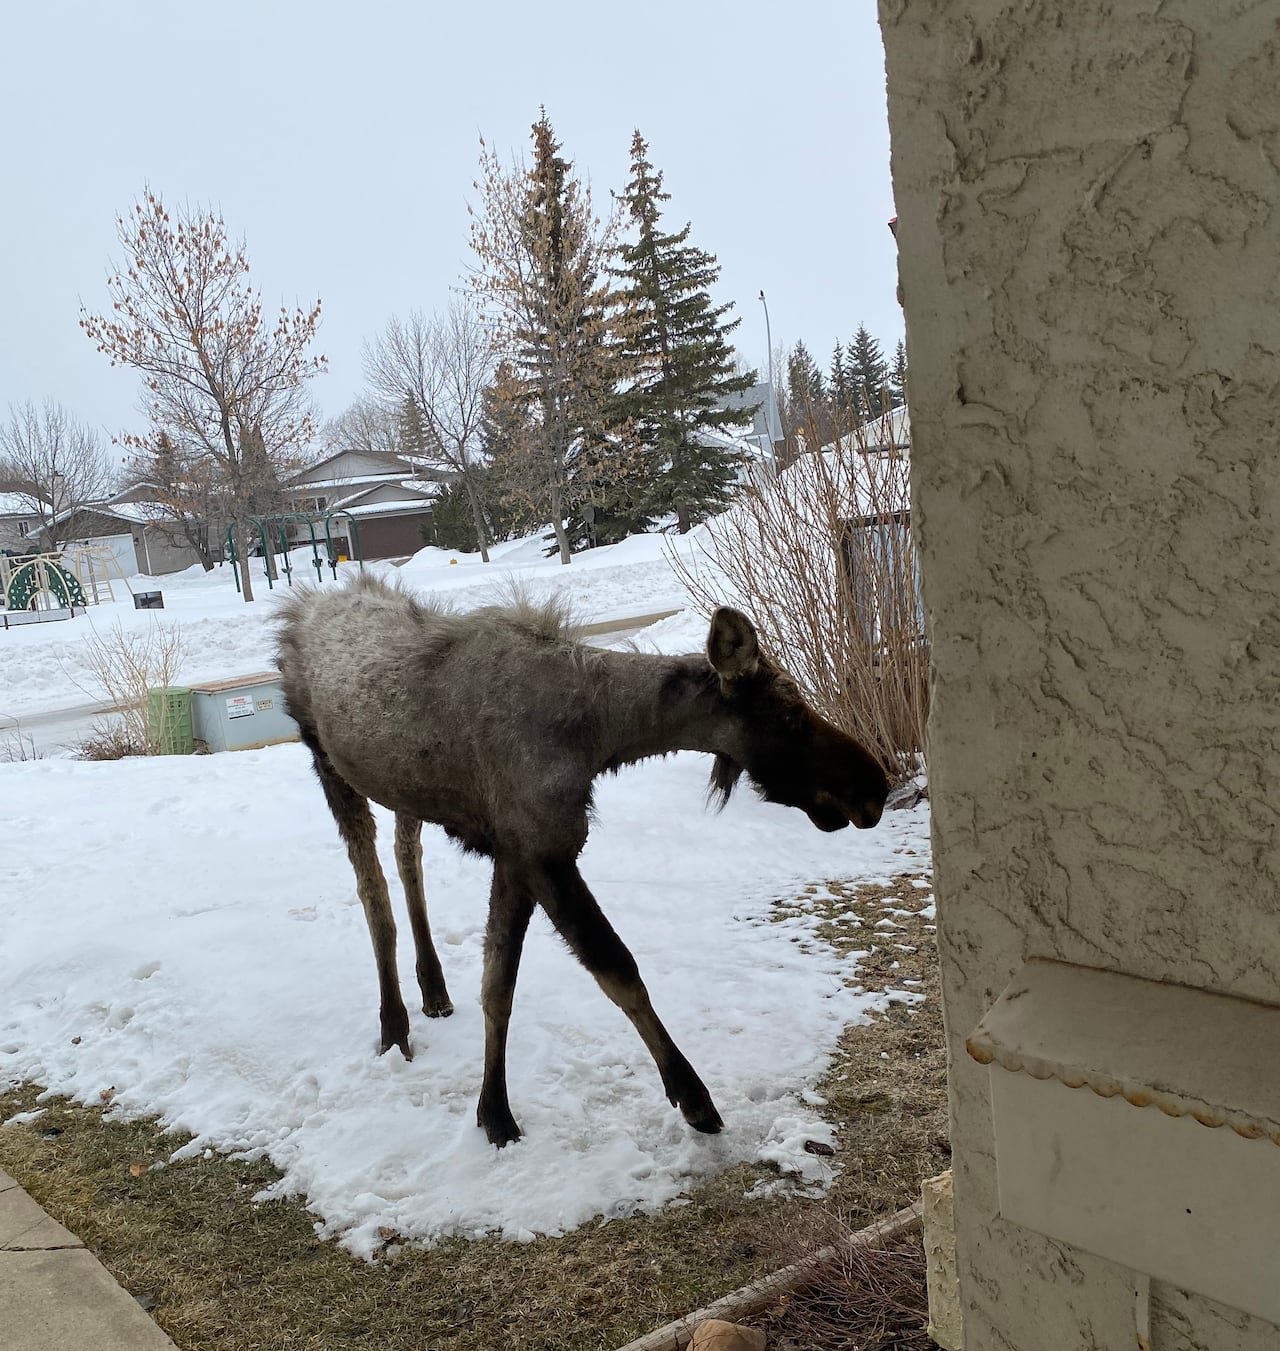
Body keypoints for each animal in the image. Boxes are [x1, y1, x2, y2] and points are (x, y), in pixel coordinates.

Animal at [276, 574, 889, 1146]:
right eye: (789, 715)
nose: (875, 786)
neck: (595, 739)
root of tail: (303, 606)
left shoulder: (518, 854)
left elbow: (498, 988)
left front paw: (492, 1109)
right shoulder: (543, 855)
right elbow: (617, 970)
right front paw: (692, 1098)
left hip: (403, 791)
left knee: (409, 858)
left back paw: (434, 989)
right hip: (327, 761)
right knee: (371, 886)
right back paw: (393, 1023)